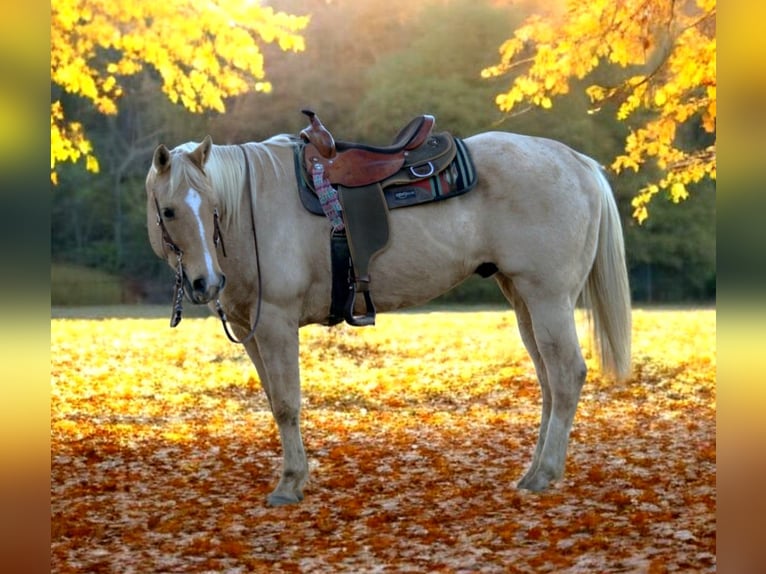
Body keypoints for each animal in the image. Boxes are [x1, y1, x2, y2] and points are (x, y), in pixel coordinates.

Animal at [144, 125, 631, 506]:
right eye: (168, 210)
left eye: (212, 208)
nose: (206, 283)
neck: (251, 209)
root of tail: (578, 163)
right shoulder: (252, 329)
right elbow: (273, 401)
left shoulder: (276, 325)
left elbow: (286, 404)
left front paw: (289, 484)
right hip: (524, 301)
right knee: (549, 381)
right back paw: (533, 472)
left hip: (548, 297)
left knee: (566, 374)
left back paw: (545, 473)